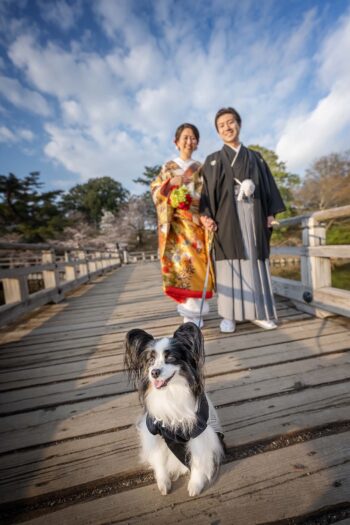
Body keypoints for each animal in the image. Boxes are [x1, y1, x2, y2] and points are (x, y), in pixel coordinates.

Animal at [125, 320, 224, 496]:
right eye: (150, 360)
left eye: (170, 357)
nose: (154, 372)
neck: (170, 391)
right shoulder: (155, 432)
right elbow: (159, 459)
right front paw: (163, 482)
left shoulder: (198, 432)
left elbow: (198, 460)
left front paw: (195, 485)